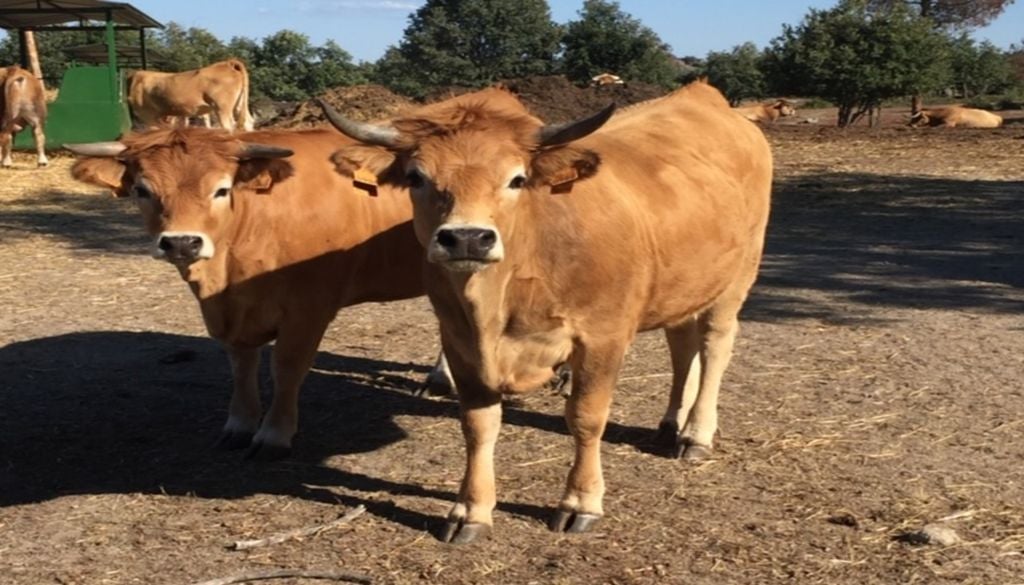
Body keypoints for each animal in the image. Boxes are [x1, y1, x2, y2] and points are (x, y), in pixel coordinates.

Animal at [66, 126, 453, 459]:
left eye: (222, 190)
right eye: (142, 191)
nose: (181, 243)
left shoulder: (308, 309)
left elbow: (286, 367)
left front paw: (274, 434)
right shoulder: (230, 312)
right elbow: (241, 365)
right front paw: (239, 424)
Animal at [321, 79, 772, 542]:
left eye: (517, 179)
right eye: (416, 177)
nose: (467, 238)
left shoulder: (602, 338)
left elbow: (586, 418)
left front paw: (580, 502)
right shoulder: (459, 340)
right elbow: (478, 425)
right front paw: (470, 510)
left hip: (737, 277)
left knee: (714, 346)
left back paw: (696, 433)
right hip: (683, 284)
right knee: (681, 345)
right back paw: (672, 421)